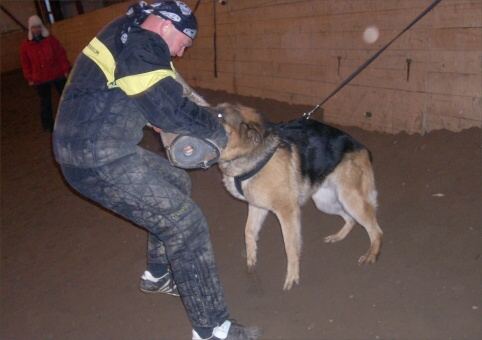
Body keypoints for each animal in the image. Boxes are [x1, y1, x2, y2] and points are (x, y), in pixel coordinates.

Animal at [215, 103, 384, 290]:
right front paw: (252, 262)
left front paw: (292, 276)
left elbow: (290, 246)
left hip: (351, 199)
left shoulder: (287, 212)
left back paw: (372, 255)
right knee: (351, 220)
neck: (252, 153)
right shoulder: (257, 206)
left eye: (220, 115)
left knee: (377, 231)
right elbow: (248, 232)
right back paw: (337, 237)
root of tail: (362, 148)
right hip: (325, 202)